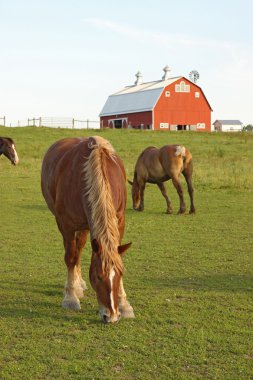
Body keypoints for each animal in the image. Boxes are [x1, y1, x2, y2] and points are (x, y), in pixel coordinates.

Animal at [41, 135, 135, 322]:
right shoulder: (67, 224)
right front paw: (70, 298)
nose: (111, 316)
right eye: (98, 276)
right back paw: (75, 287)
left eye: (120, 274)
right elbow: (71, 258)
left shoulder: (119, 220)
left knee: (80, 247)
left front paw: (124, 304)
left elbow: (117, 256)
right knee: (74, 253)